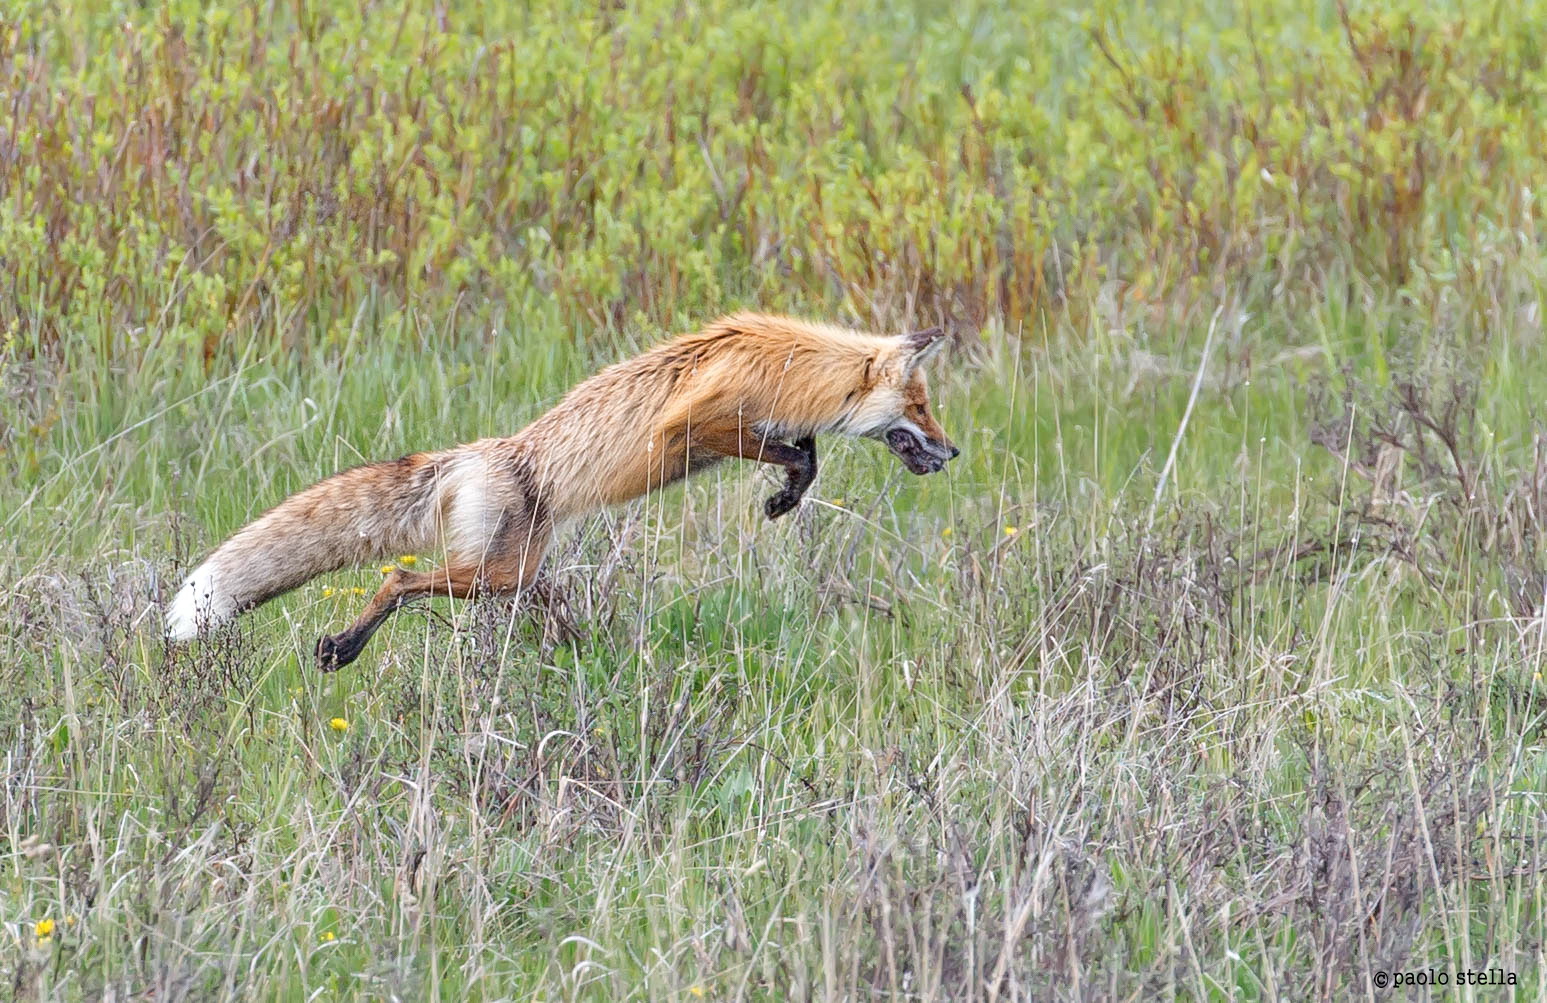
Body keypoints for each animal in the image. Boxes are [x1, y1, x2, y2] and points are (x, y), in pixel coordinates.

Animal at [165, 312, 959, 670]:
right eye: (920, 408)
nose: (953, 453)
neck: (793, 364)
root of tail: (483, 453)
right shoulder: (694, 423)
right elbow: (795, 451)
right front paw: (788, 487)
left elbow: (806, 452)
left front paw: (787, 493)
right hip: (496, 572)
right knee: (397, 577)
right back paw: (345, 646)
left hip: (517, 570)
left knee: (535, 598)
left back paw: (579, 650)